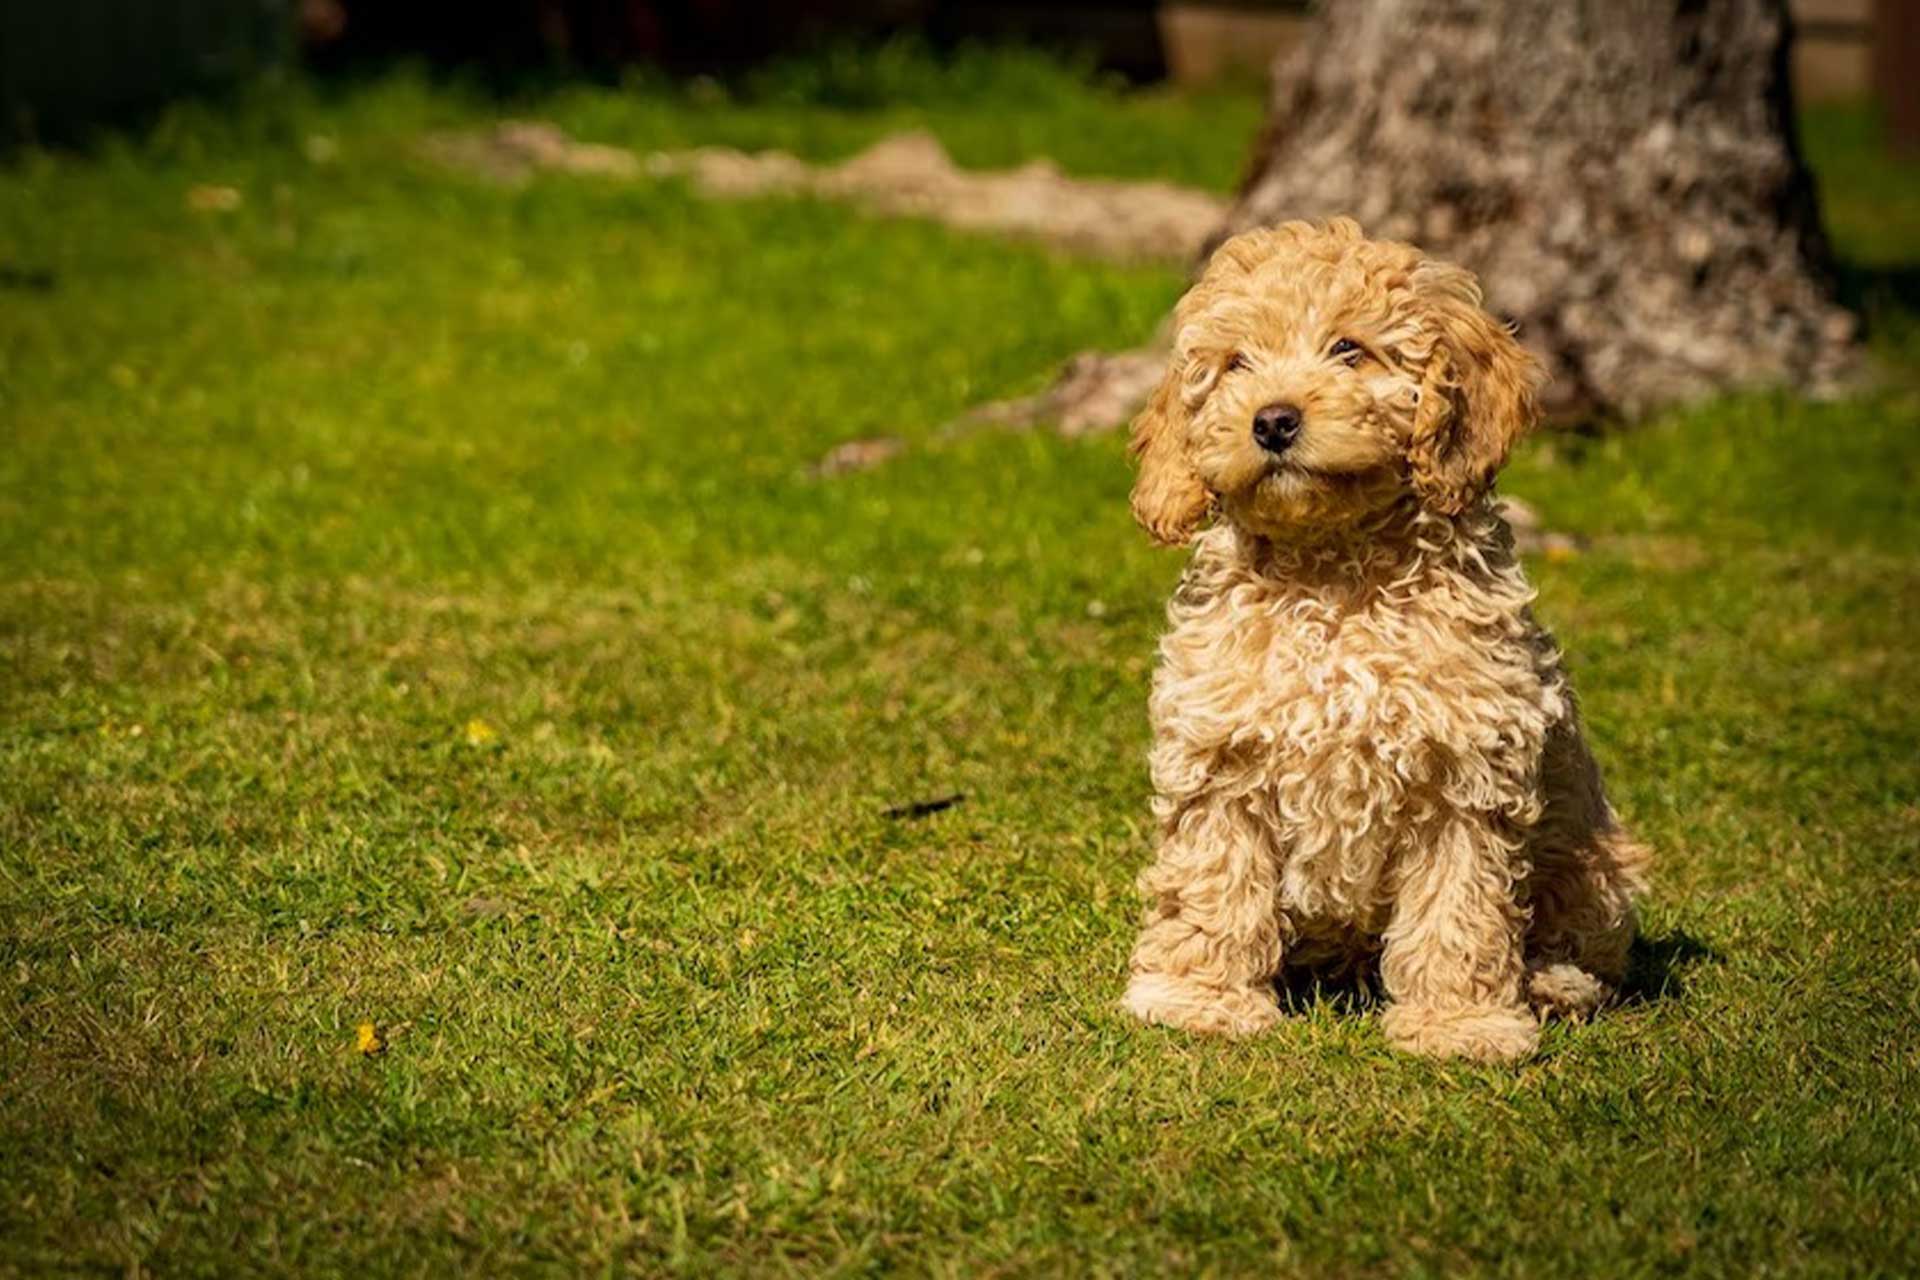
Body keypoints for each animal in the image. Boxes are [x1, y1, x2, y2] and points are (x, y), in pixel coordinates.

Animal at [1121, 220, 1651, 1059]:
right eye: (1236, 364)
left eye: (1349, 349)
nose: (1272, 420)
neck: (1332, 576)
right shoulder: (1222, 756)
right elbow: (1214, 883)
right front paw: (1196, 998)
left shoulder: (1465, 771)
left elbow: (1460, 908)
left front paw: (1461, 1024)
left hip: (1592, 856)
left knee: (1583, 938)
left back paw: (1553, 983)